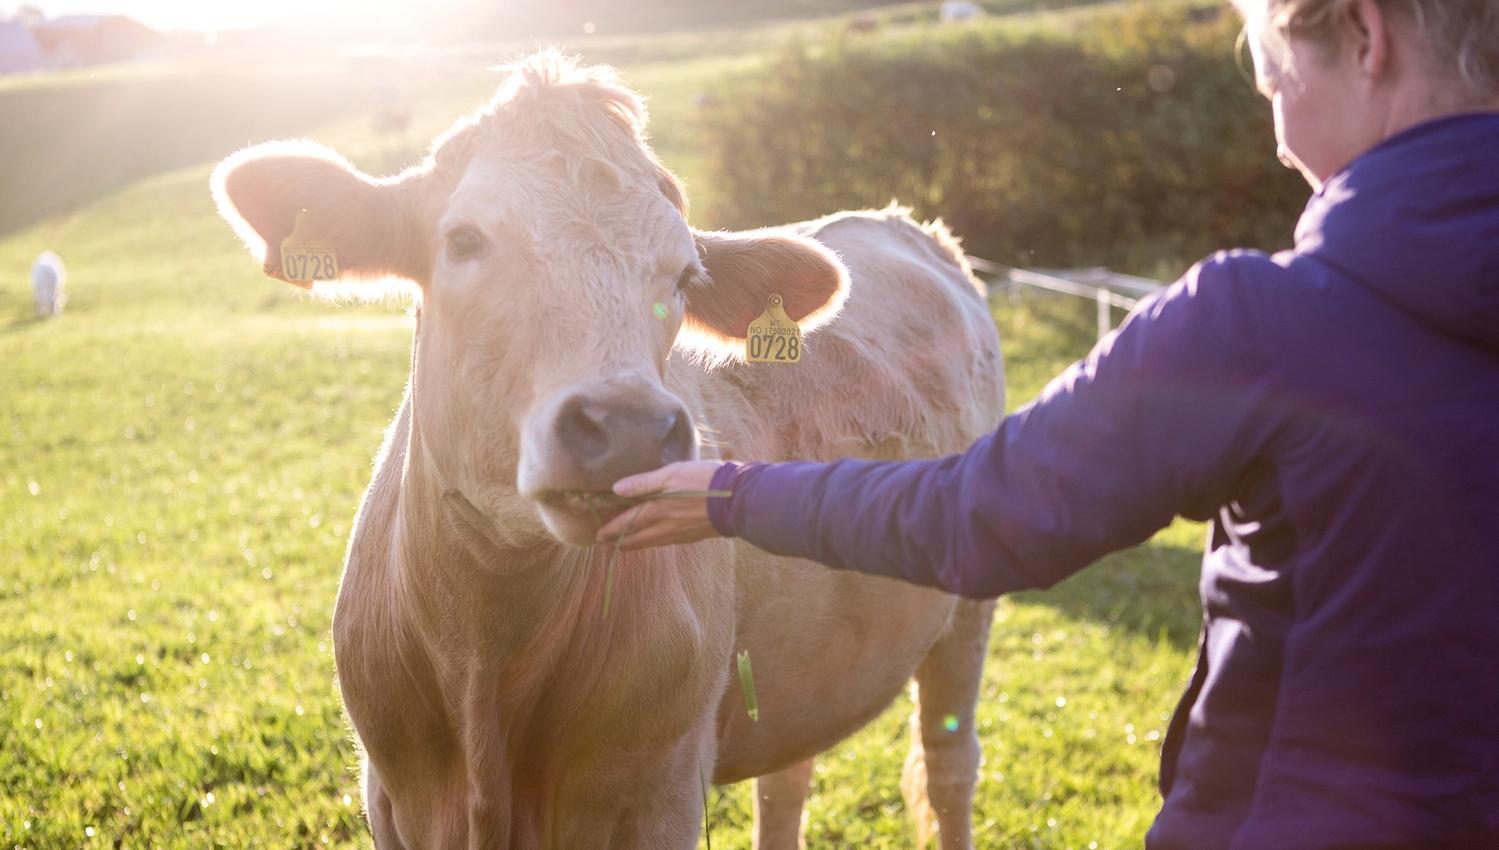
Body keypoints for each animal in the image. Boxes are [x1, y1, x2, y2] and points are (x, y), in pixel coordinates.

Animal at [212, 50, 1006, 850]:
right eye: (463, 240)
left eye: (685, 276)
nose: (628, 429)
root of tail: (906, 225)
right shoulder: (391, 796)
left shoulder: (658, 791)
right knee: (787, 779)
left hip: (968, 594)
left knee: (949, 764)